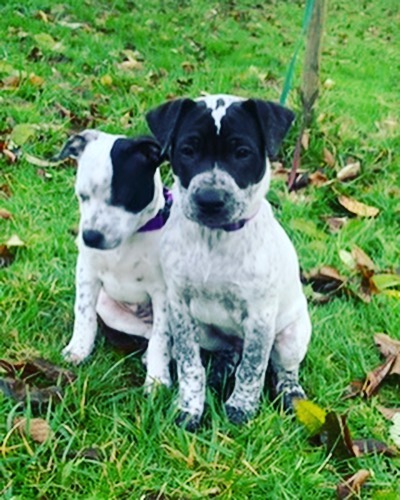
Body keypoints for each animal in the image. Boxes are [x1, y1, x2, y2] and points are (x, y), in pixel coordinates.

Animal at [56, 131, 172, 388]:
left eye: (124, 196)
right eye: (82, 196)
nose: (90, 237)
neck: (130, 239)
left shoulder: (164, 294)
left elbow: (161, 338)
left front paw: (157, 380)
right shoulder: (87, 273)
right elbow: (84, 314)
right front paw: (78, 350)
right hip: (109, 308)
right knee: (147, 333)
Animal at [147, 94, 312, 430]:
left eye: (242, 153)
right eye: (188, 150)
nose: (210, 200)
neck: (214, 240)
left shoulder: (260, 316)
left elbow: (253, 368)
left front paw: (241, 408)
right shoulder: (179, 306)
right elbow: (189, 365)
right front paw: (189, 408)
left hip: (292, 336)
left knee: (284, 369)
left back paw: (291, 394)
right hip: (208, 333)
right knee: (228, 354)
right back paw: (220, 371)